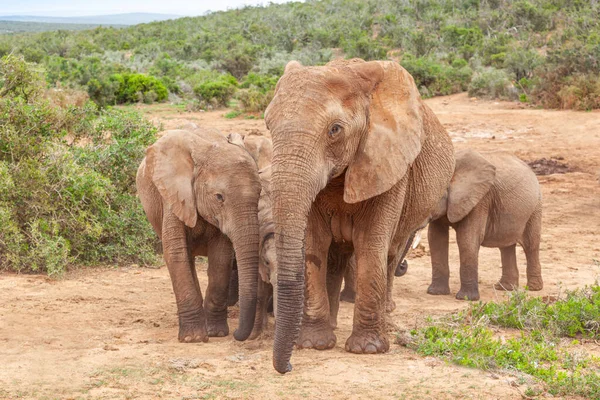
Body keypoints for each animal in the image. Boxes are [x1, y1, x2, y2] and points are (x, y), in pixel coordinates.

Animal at [264, 57, 454, 374]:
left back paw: (386, 314)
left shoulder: (388, 163)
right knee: (336, 258)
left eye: (335, 130)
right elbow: (314, 246)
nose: (288, 366)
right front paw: (314, 344)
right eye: (268, 124)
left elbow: (370, 245)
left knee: (389, 254)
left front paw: (367, 349)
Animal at [426, 149, 544, 300]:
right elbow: (436, 238)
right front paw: (435, 293)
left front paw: (466, 299)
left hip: (535, 208)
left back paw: (533, 288)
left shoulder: (480, 200)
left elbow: (467, 239)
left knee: (531, 245)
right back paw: (505, 288)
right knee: (505, 246)